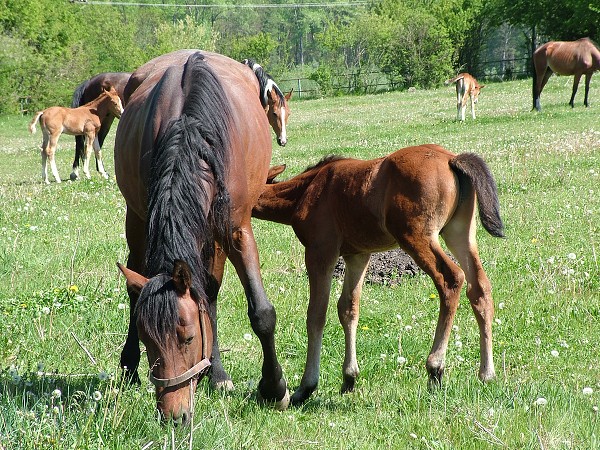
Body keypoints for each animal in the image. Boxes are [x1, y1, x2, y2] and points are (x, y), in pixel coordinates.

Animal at [115, 51, 290, 424]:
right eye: (150, 343)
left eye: (188, 337)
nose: (173, 415)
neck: (191, 132)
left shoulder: (236, 230)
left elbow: (260, 313)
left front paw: (274, 388)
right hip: (137, 220)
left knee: (209, 291)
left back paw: (218, 373)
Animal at [251, 146, 504, 406]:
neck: (306, 191)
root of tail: (451, 159)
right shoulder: (357, 255)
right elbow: (348, 309)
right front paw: (349, 378)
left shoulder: (320, 252)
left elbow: (316, 315)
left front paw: (306, 387)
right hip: (459, 232)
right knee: (480, 288)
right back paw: (487, 373)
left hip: (417, 237)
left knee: (451, 279)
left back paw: (435, 369)